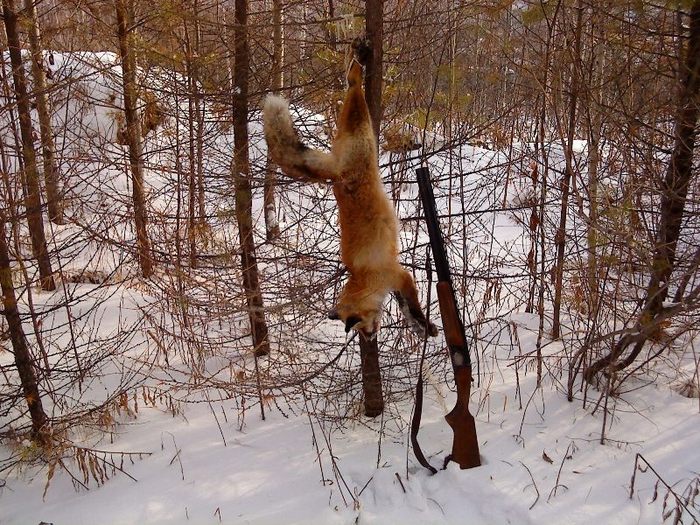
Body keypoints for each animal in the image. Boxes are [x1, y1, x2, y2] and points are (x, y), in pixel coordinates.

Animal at [263, 60, 437, 339]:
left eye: (358, 326)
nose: (370, 337)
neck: (364, 276)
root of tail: (337, 174)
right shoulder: (398, 279)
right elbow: (405, 307)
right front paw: (419, 328)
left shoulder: (399, 276)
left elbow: (412, 307)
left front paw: (424, 325)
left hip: (363, 131)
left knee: (355, 94)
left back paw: (356, 70)